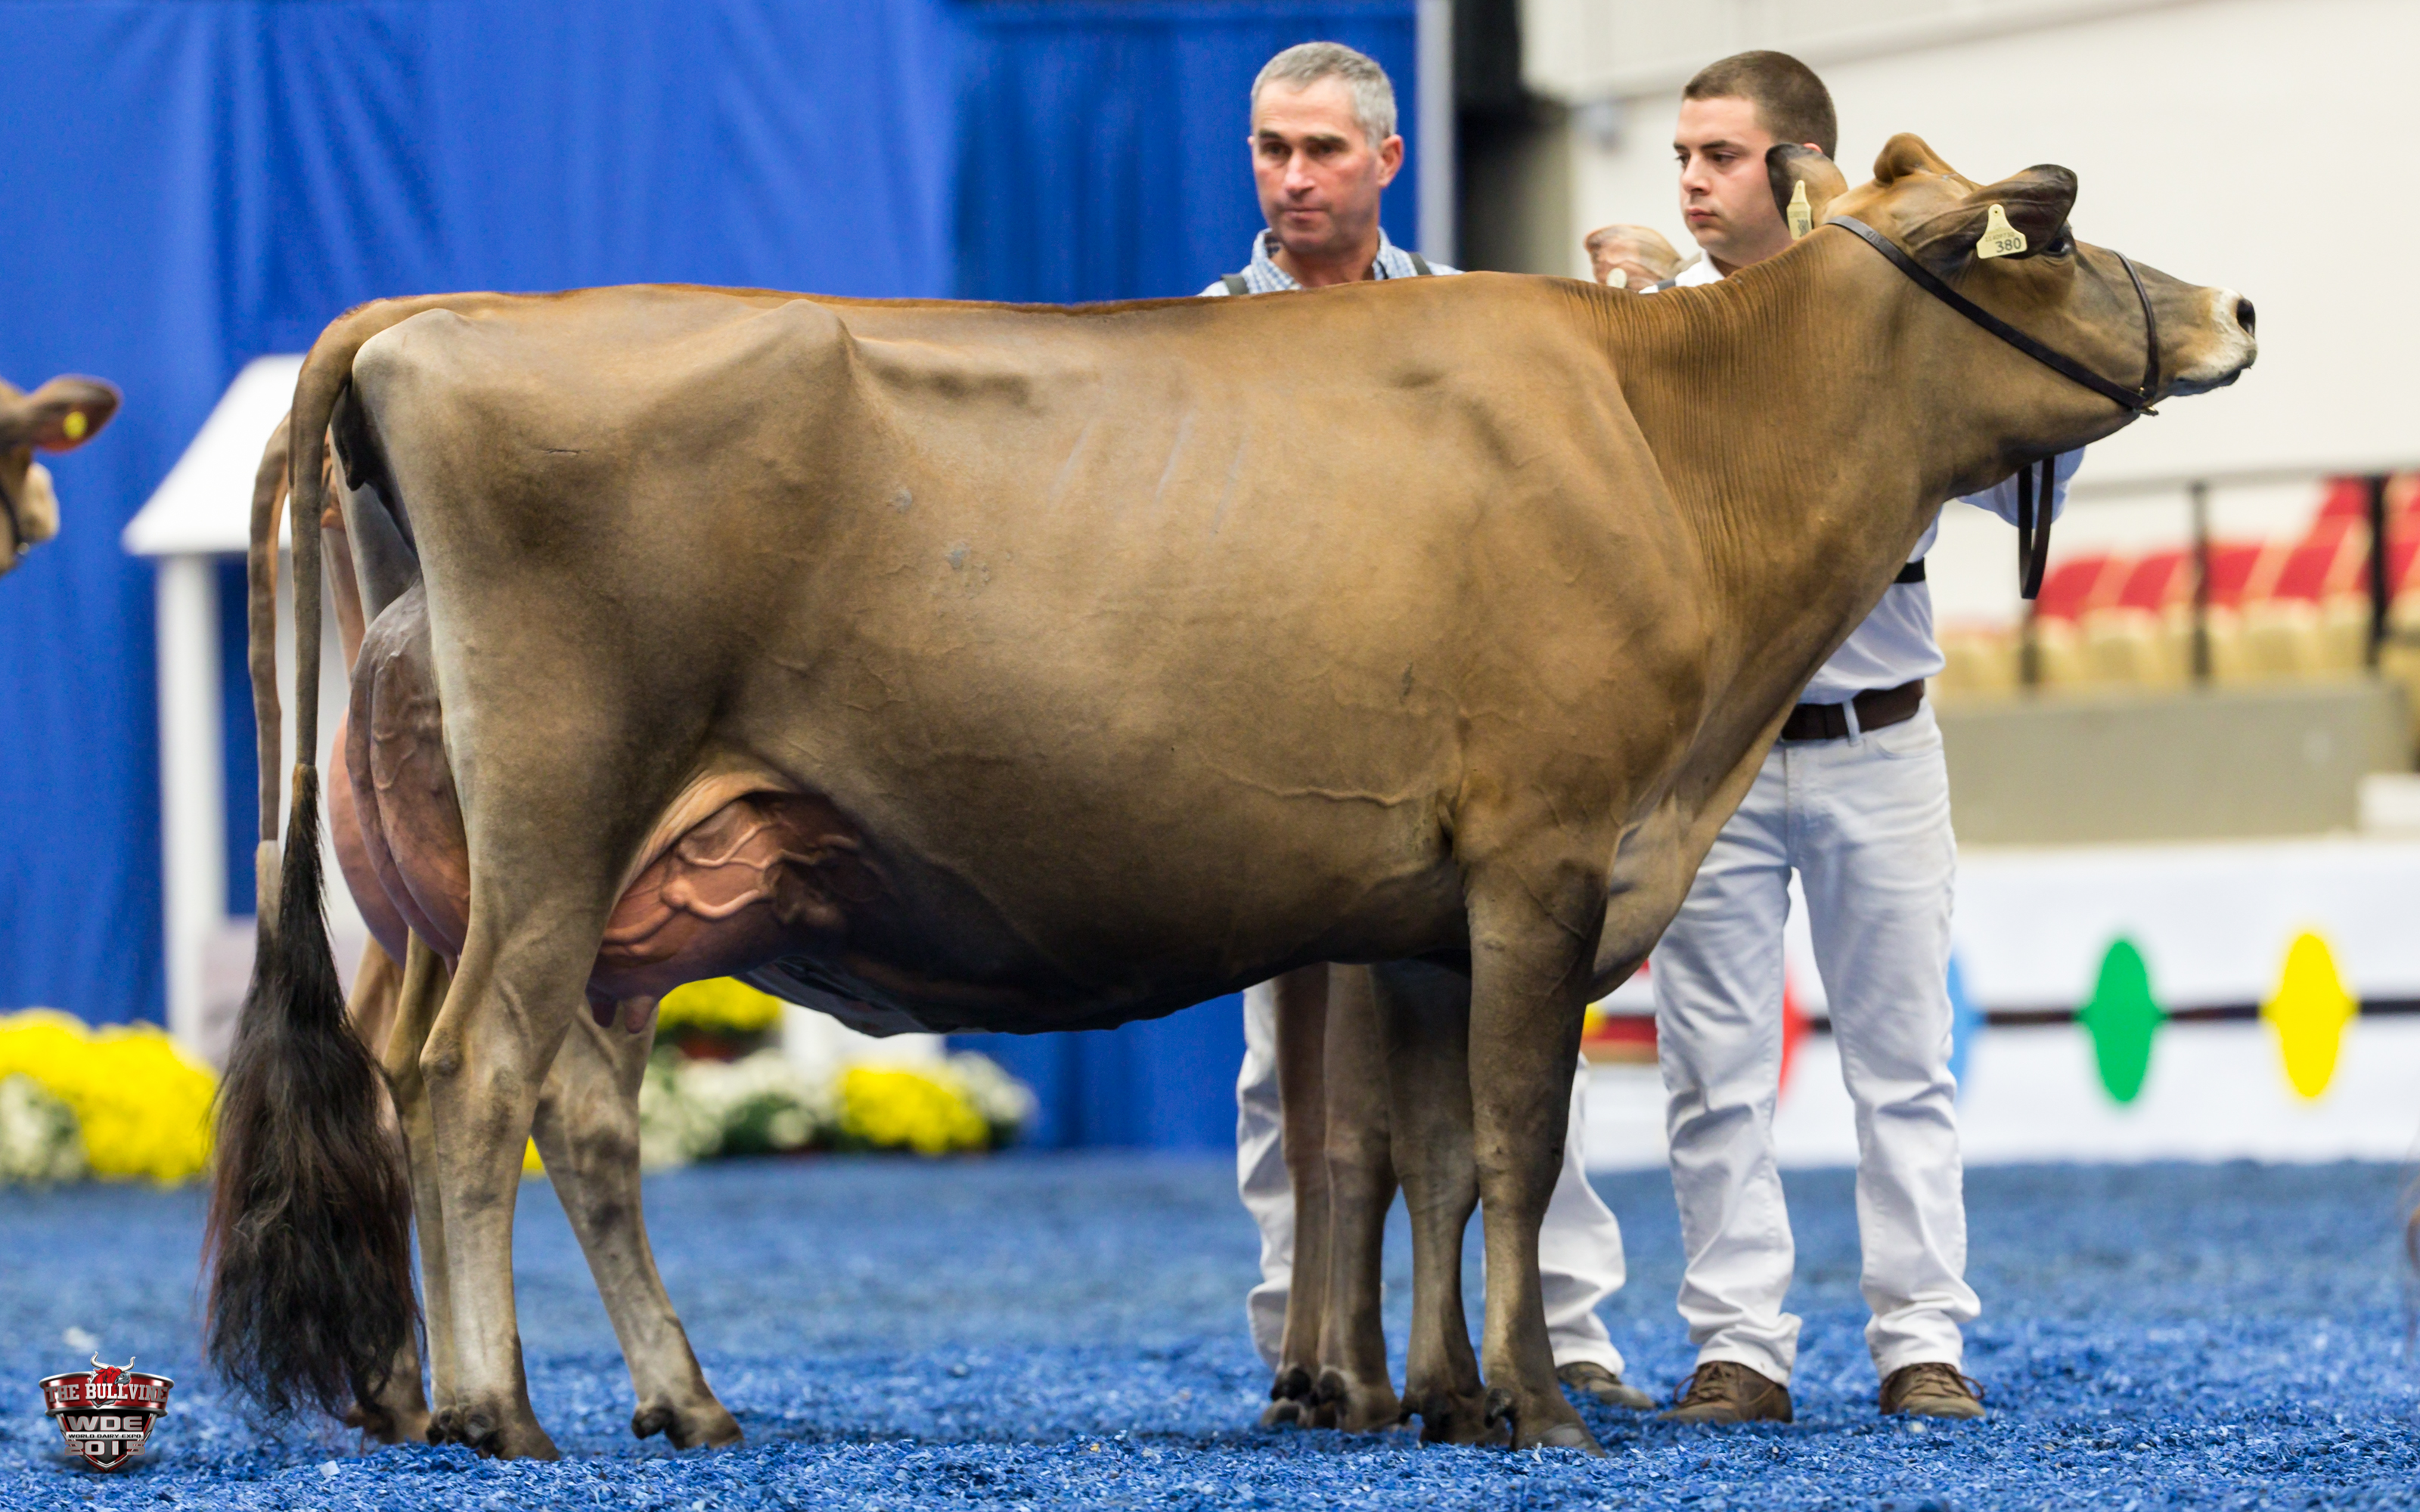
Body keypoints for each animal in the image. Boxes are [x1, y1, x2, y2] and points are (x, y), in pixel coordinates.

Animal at [207, 133, 2253, 1461]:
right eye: (2050, 226)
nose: (2235, 302)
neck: (1681, 449)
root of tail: (450, 316)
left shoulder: (1429, 907)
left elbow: (1427, 1151)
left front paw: (1443, 1394)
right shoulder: (1548, 852)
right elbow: (1522, 1141)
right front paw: (1539, 1407)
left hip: (556, 879)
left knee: (534, 1103)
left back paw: (626, 1396)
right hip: (560, 817)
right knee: (472, 1086)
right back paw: (499, 1409)